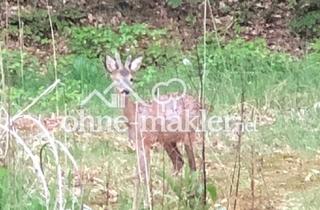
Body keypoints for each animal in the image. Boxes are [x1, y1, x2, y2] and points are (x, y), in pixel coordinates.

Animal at [104, 52, 201, 207]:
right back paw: (172, 196)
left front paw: (147, 203)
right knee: (179, 162)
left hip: (190, 134)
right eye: (116, 78)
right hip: (169, 140)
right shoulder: (137, 144)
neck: (134, 116)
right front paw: (136, 205)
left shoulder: (147, 141)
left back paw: (193, 197)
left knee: (193, 164)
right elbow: (138, 174)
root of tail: (199, 103)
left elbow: (146, 174)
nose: (126, 91)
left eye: (131, 78)